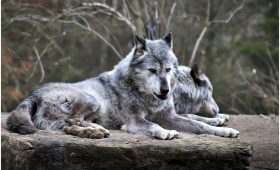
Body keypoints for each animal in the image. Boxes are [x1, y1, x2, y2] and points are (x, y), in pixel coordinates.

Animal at [6, 33, 238, 139]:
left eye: (168, 70)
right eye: (152, 71)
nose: (165, 91)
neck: (145, 96)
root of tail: (34, 93)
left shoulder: (169, 116)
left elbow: (200, 124)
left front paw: (223, 128)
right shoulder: (137, 120)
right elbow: (154, 126)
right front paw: (164, 133)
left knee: (69, 125)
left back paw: (94, 131)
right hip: (91, 100)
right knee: (71, 122)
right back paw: (95, 131)